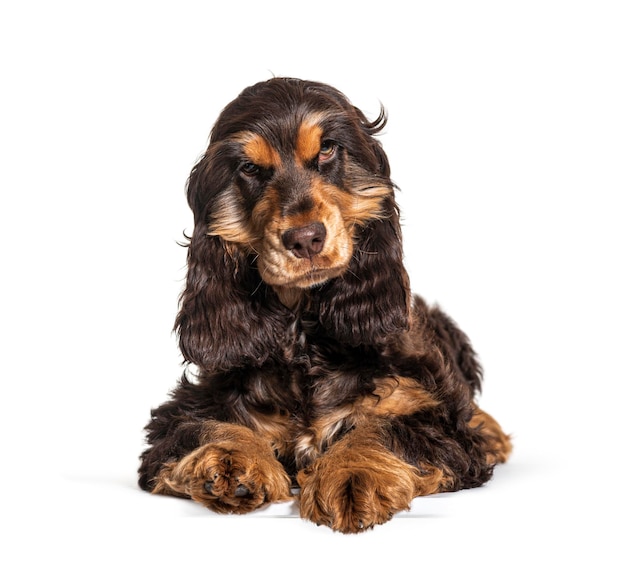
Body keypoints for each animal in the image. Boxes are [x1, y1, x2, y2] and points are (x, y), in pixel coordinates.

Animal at [139, 78, 510, 536]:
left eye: (329, 150)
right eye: (249, 169)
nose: (305, 239)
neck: (303, 331)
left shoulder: (436, 415)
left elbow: (386, 426)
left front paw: (353, 474)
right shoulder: (186, 409)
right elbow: (204, 425)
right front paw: (231, 461)